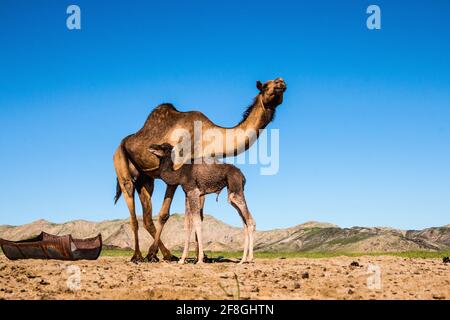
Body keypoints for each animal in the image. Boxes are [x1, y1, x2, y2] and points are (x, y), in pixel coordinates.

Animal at [114, 77, 286, 262]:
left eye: (279, 83)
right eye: (266, 86)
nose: (281, 82)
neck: (207, 137)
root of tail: (123, 142)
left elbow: (199, 215)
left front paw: (201, 257)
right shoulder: (177, 171)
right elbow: (165, 214)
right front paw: (156, 254)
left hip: (146, 179)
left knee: (146, 216)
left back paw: (167, 254)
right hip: (120, 163)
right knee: (132, 206)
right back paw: (138, 256)